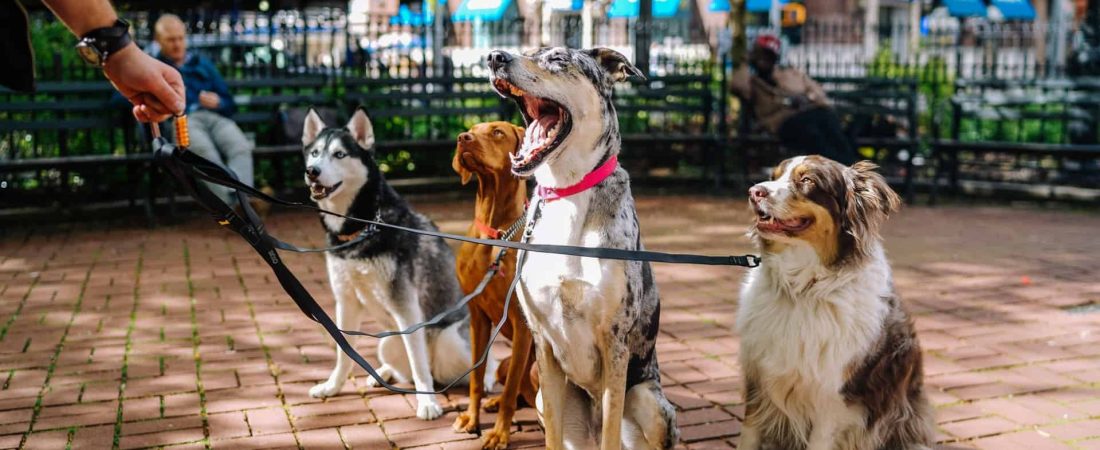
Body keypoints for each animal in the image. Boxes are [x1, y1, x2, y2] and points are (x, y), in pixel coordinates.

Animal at [451, 121, 536, 446]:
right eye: (471, 129)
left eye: (497, 132)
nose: (462, 138)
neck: (495, 234)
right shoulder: (477, 316)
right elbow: (476, 377)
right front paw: (471, 419)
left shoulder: (522, 324)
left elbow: (512, 389)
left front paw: (500, 434)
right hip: (503, 363)